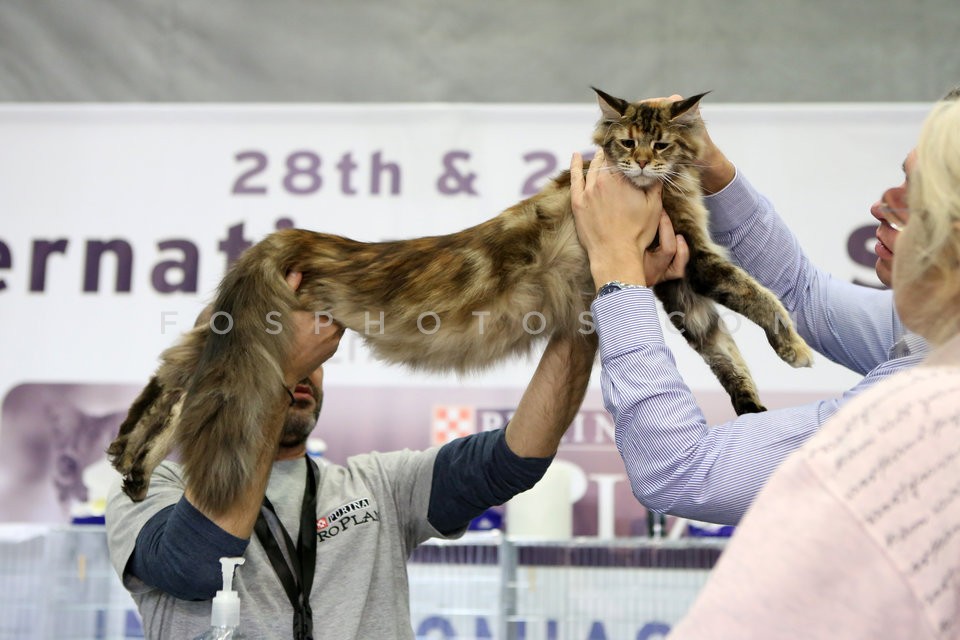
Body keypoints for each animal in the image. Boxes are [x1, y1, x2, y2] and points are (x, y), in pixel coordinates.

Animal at [109, 89, 812, 516]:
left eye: (661, 143)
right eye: (624, 144)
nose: (640, 163)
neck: (660, 191)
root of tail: (294, 234)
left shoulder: (676, 281)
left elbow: (722, 351)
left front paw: (752, 412)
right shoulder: (689, 262)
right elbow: (758, 298)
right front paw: (798, 349)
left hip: (225, 332)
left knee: (169, 381)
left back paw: (126, 460)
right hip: (261, 340)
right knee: (187, 395)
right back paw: (134, 468)